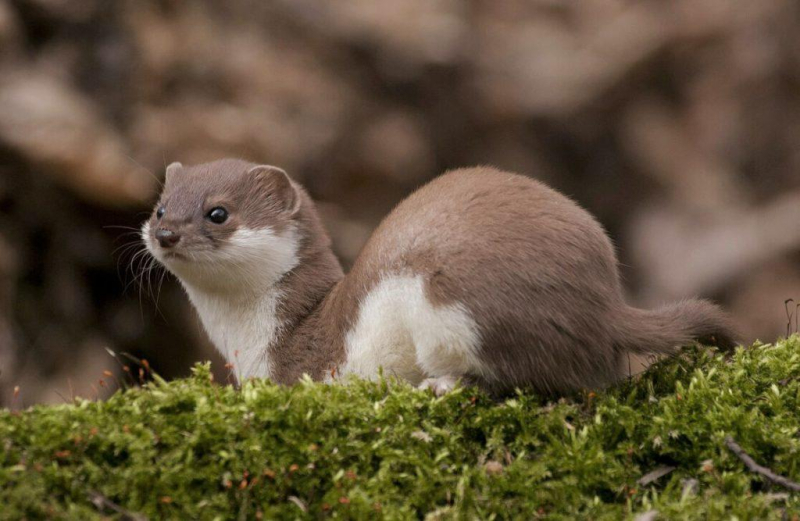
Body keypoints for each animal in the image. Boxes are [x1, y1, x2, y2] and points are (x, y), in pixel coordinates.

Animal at [142, 158, 732, 394]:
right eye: (160, 207)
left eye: (218, 212)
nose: (165, 234)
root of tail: (606, 302)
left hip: (452, 300)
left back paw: (443, 383)